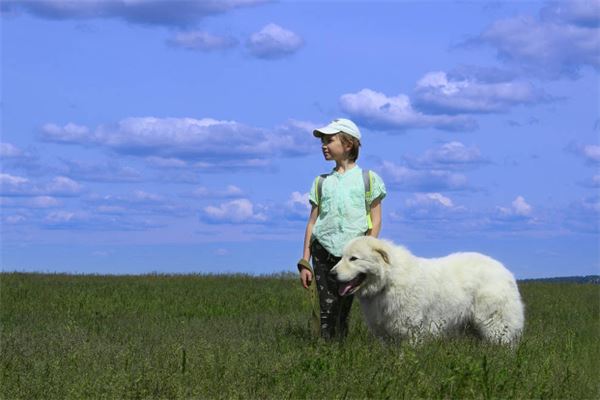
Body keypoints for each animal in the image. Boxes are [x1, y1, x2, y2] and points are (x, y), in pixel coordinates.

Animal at [330, 236, 524, 346]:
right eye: (342, 257)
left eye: (353, 259)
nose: (331, 274)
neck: (389, 280)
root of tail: (505, 270)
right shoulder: (386, 334)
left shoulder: (410, 333)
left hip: (495, 326)